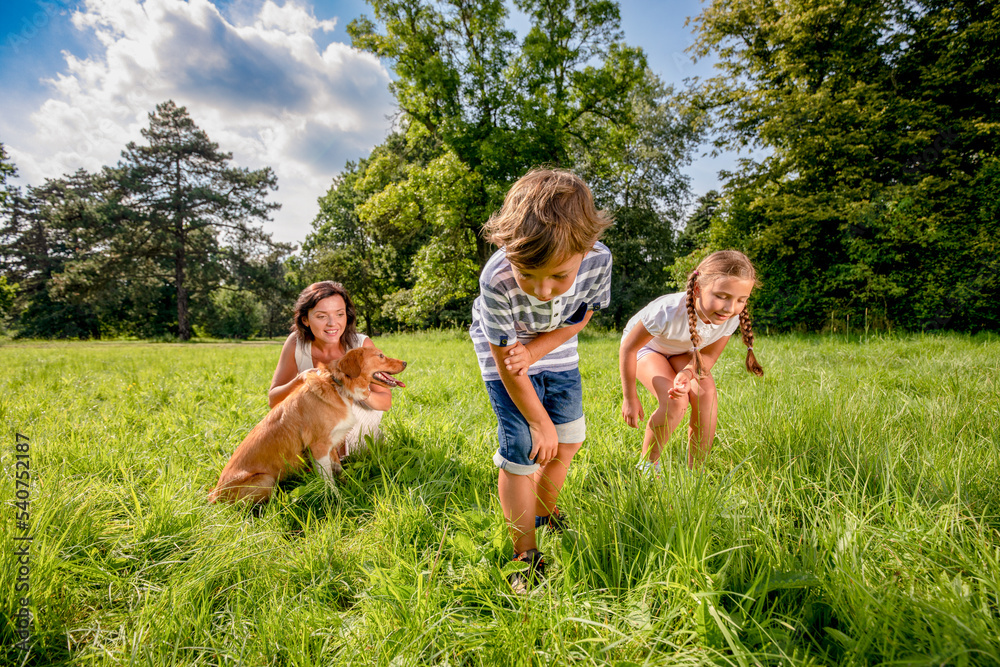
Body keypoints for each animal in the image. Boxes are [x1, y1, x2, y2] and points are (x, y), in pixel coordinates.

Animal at [207, 348, 406, 504]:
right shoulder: (318, 447)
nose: (405, 362)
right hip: (265, 479)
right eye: (380, 355)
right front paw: (338, 499)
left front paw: (348, 484)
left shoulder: (331, 445)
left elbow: (337, 469)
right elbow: (328, 480)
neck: (338, 386)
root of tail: (215, 495)